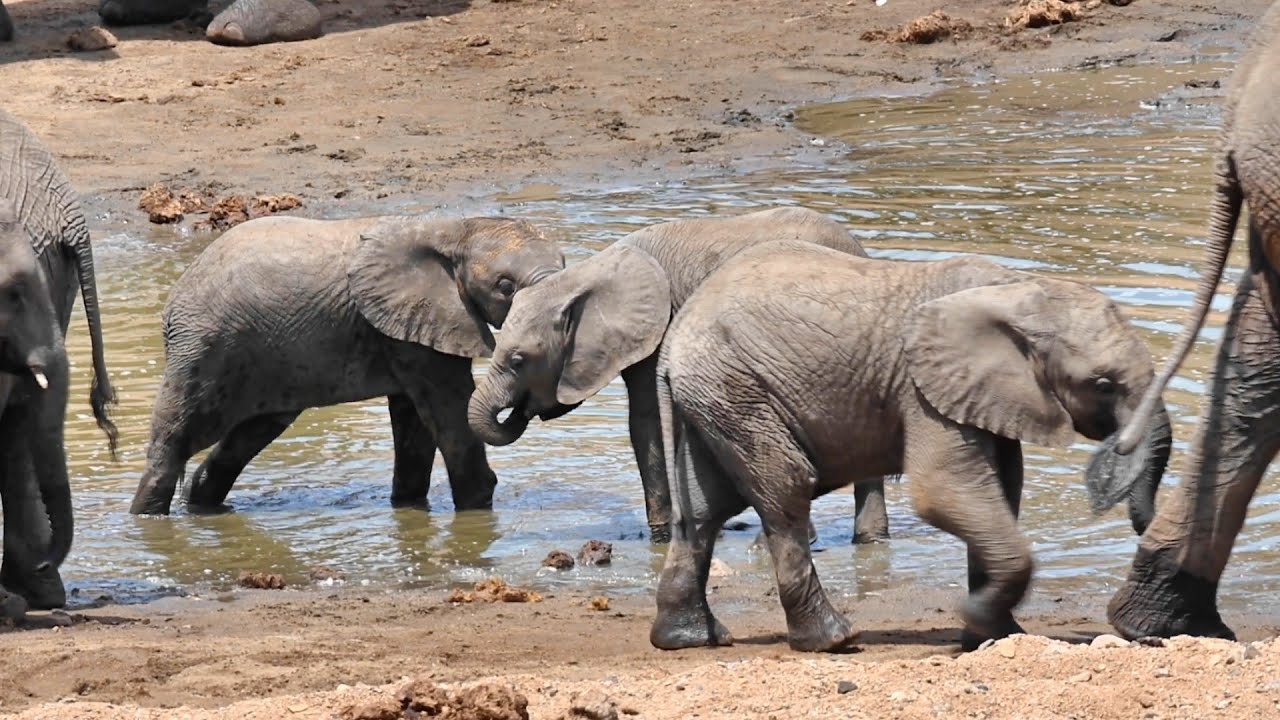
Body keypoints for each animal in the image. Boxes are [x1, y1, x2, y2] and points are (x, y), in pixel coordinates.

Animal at [127, 214, 564, 516]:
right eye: (505, 287)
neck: (455, 228)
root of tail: (172, 304)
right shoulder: (415, 322)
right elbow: (450, 414)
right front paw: (476, 510)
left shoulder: (405, 327)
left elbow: (414, 424)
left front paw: (409, 509)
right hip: (206, 349)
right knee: (179, 436)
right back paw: (149, 519)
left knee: (250, 434)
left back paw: (202, 508)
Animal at [467, 206, 892, 545]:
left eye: (519, 360)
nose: (521, 411)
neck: (587, 275)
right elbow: (644, 420)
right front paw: (664, 537)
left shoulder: (663, 322)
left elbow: (655, 419)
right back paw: (869, 540)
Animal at [648, 241, 1173, 653]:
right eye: (1103, 385)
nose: (1137, 520)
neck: (1017, 289)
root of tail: (673, 342)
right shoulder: (923, 390)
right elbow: (945, 492)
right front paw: (978, 618)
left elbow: (1001, 492)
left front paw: (994, 635)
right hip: (736, 390)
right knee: (785, 490)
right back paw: (834, 640)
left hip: (714, 398)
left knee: (704, 509)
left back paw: (690, 639)